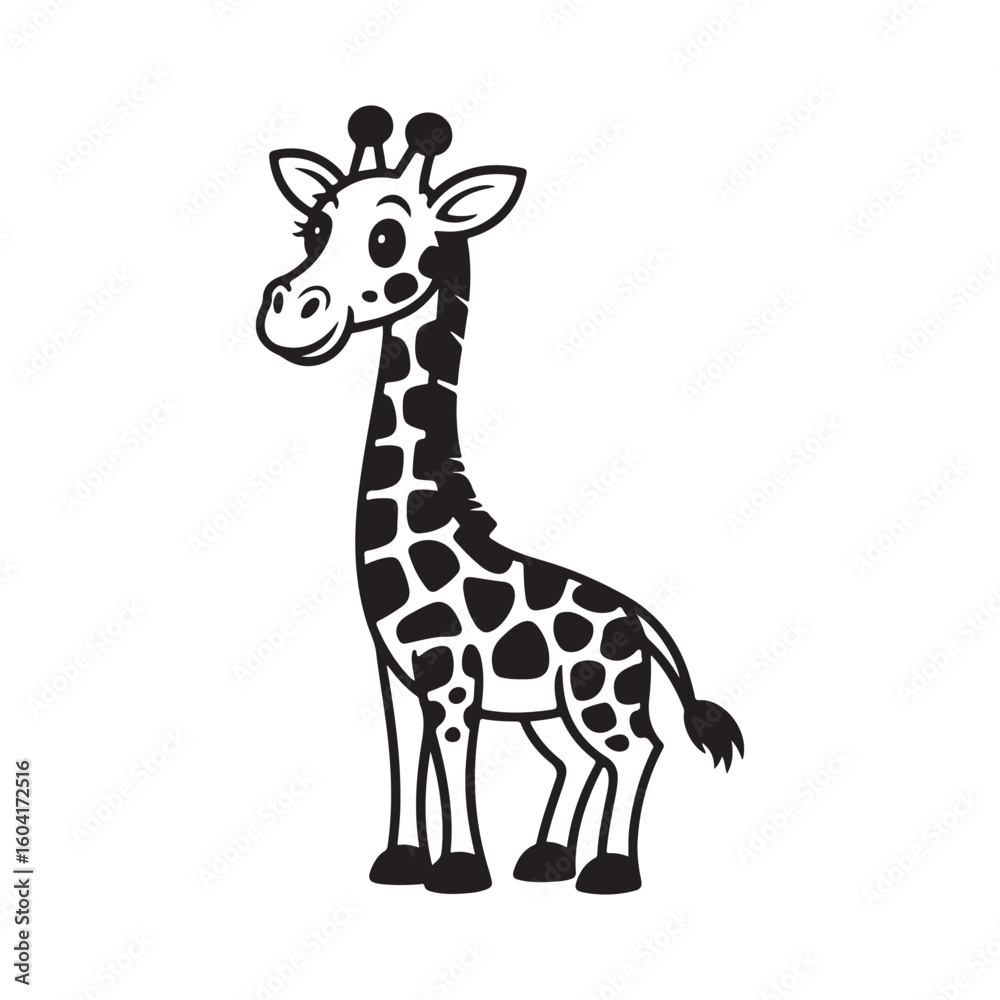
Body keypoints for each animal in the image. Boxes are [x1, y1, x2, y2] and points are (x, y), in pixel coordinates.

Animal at [256, 106, 744, 894]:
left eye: (388, 236)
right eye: (314, 228)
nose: (291, 313)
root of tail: (641, 621)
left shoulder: (453, 675)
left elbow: (454, 761)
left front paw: (458, 869)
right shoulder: (398, 676)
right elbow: (405, 762)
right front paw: (400, 861)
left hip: (600, 694)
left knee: (636, 750)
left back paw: (609, 869)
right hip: (550, 709)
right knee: (580, 760)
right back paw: (547, 860)